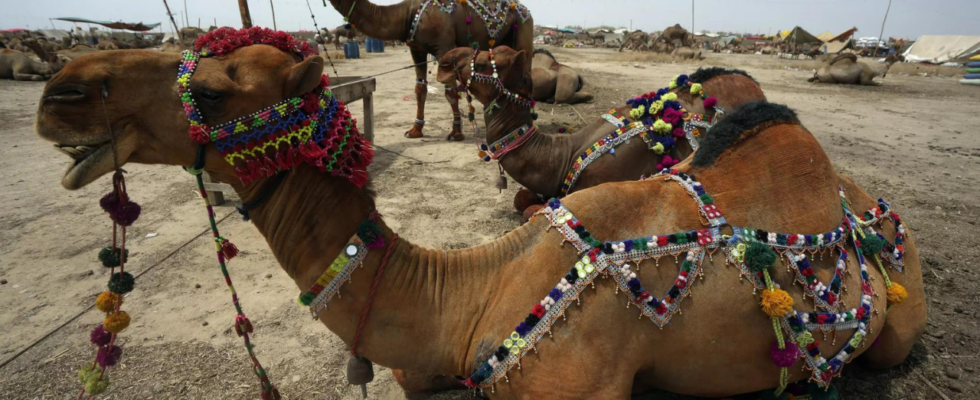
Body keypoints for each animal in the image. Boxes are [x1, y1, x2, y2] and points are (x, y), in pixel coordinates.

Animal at [326, 0, 532, 141]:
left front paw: (456, 133)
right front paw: (415, 130)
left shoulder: (444, 46)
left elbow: (450, 91)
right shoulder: (416, 49)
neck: (408, 13)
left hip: (524, 29)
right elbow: (420, 88)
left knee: (528, 76)